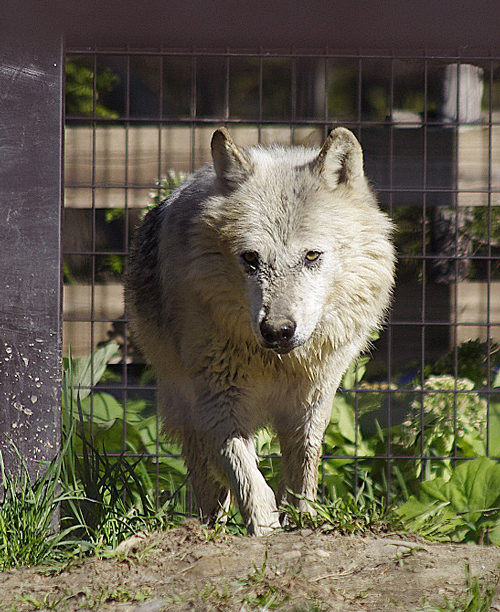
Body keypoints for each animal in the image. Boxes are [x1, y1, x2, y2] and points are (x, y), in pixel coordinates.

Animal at [125, 128, 394, 536]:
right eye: (250, 258)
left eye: (312, 256)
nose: (277, 331)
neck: (276, 362)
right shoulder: (218, 399)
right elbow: (243, 469)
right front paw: (264, 525)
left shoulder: (312, 400)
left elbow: (303, 466)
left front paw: (300, 519)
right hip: (184, 401)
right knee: (208, 481)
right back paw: (208, 529)